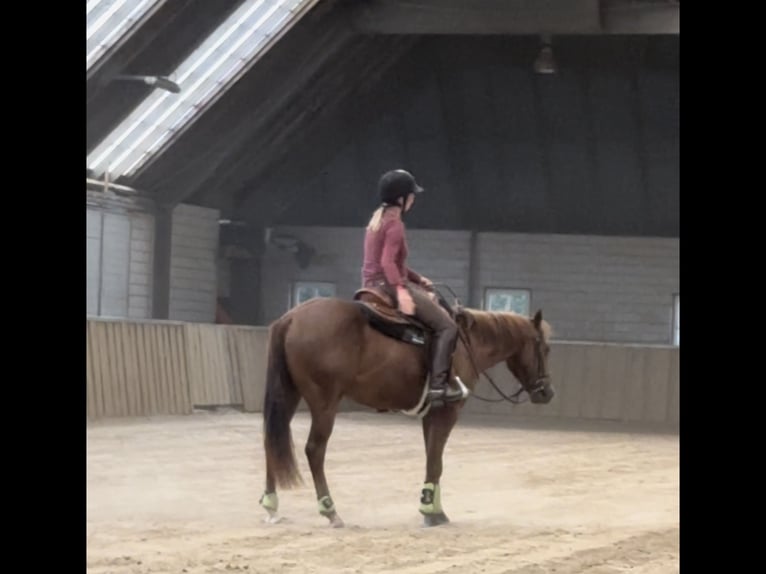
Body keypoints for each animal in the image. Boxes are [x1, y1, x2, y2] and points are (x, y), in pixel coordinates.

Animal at [260, 290, 556, 528]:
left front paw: (433, 506)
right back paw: (330, 511)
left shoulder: (431, 414)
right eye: (545, 348)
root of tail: (291, 318)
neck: (465, 343)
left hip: (288, 395)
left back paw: (270, 505)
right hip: (325, 403)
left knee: (271, 441)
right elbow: (436, 461)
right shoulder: (448, 412)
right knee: (314, 450)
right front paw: (431, 512)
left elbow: (431, 459)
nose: (547, 393)